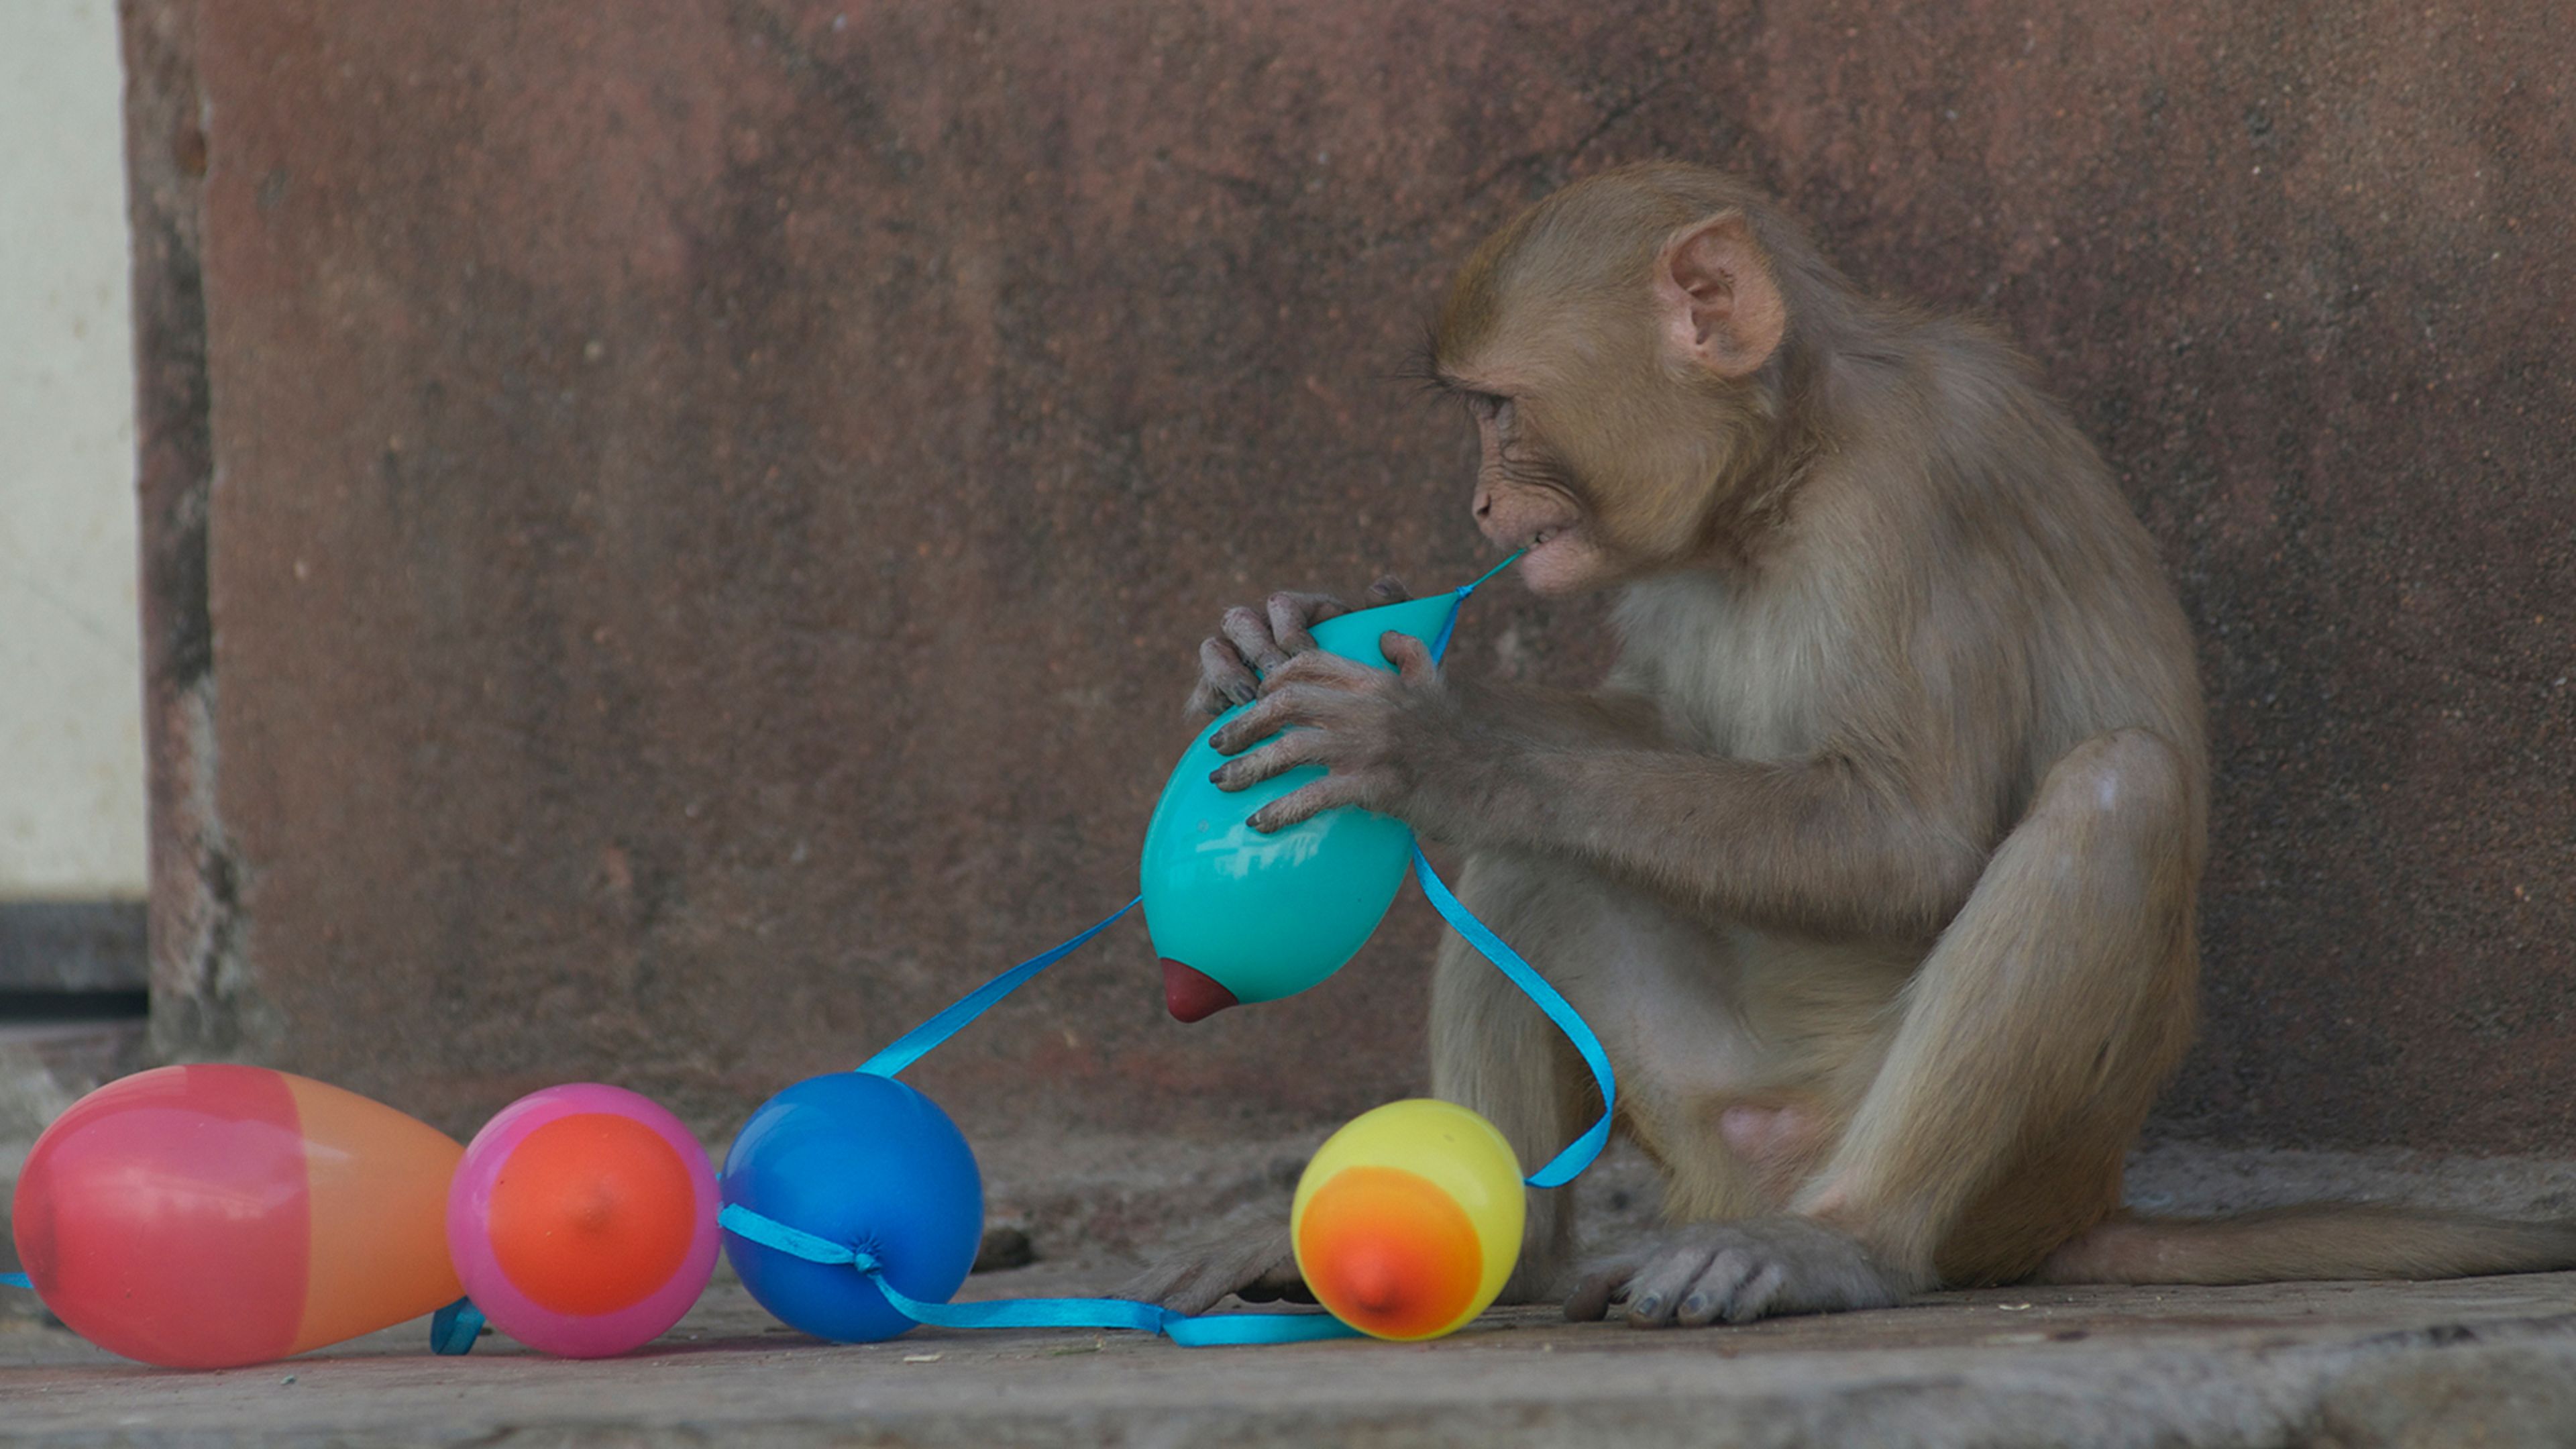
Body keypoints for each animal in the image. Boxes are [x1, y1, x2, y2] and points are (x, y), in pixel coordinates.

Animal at [1127, 162, 2576, 1327]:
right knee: (1527, 869)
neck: (1785, 468)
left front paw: (1448, 747)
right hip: (1701, 1111)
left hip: (2005, 1172)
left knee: (2119, 790)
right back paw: (1513, 1256)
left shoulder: (1907, 496)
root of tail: (2082, 1205)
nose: (1479, 507)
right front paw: (1266, 636)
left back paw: (1838, 1245)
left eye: (1497, 408)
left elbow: (1909, 837)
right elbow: (1654, 726)